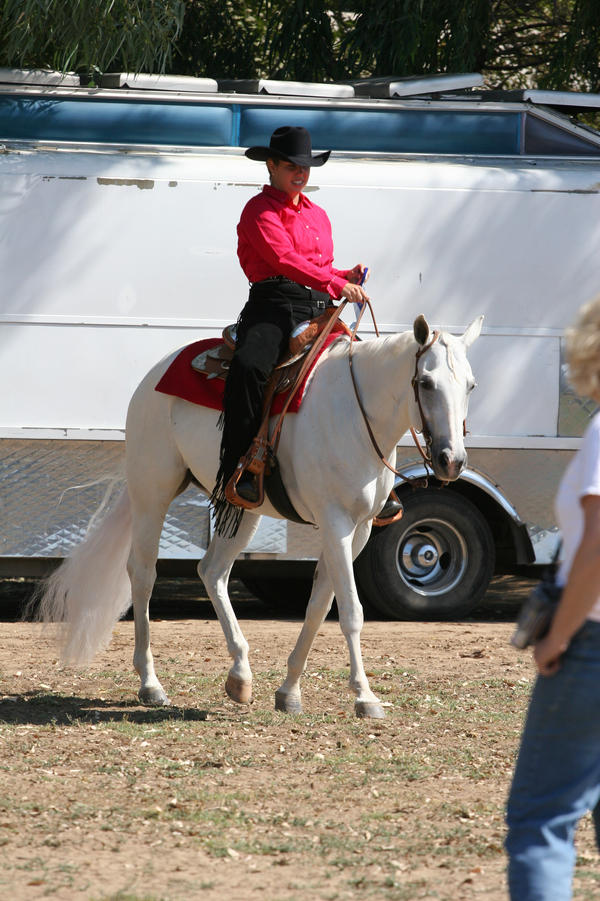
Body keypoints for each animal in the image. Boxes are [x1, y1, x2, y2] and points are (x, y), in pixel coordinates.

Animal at [35, 312, 482, 720]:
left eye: (471, 386)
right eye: (426, 383)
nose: (451, 461)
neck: (357, 416)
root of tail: (156, 373)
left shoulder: (359, 529)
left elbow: (319, 605)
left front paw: (289, 692)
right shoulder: (336, 523)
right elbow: (351, 612)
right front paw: (365, 697)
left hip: (240, 508)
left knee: (212, 571)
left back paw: (240, 675)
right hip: (152, 491)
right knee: (143, 575)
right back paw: (151, 684)